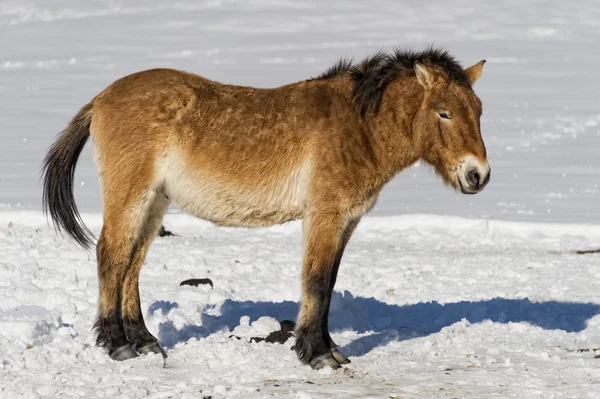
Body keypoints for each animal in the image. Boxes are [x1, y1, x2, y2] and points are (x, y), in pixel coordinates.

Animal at [43, 47, 492, 372]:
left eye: (479, 111)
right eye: (444, 112)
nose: (478, 175)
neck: (357, 127)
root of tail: (102, 98)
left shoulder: (347, 220)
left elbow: (329, 283)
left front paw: (330, 348)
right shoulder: (325, 215)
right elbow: (316, 281)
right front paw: (317, 354)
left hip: (155, 202)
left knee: (132, 263)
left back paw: (145, 340)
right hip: (131, 196)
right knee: (112, 255)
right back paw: (118, 345)